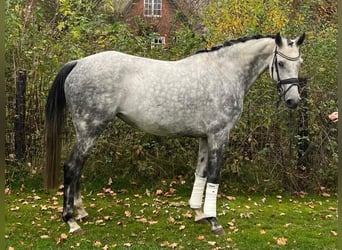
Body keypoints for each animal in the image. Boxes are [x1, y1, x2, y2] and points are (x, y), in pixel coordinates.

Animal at [44, 32, 304, 234]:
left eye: (299, 62)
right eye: (281, 63)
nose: (293, 101)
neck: (225, 72)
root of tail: (79, 63)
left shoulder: (205, 137)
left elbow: (201, 173)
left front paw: (198, 212)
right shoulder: (219, 135)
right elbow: (214, 176)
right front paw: (214, 221)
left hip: (88, 132)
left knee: (79, 167)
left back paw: (81, 211)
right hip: (90, 129)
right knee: (72, 167)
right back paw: (71, 221)